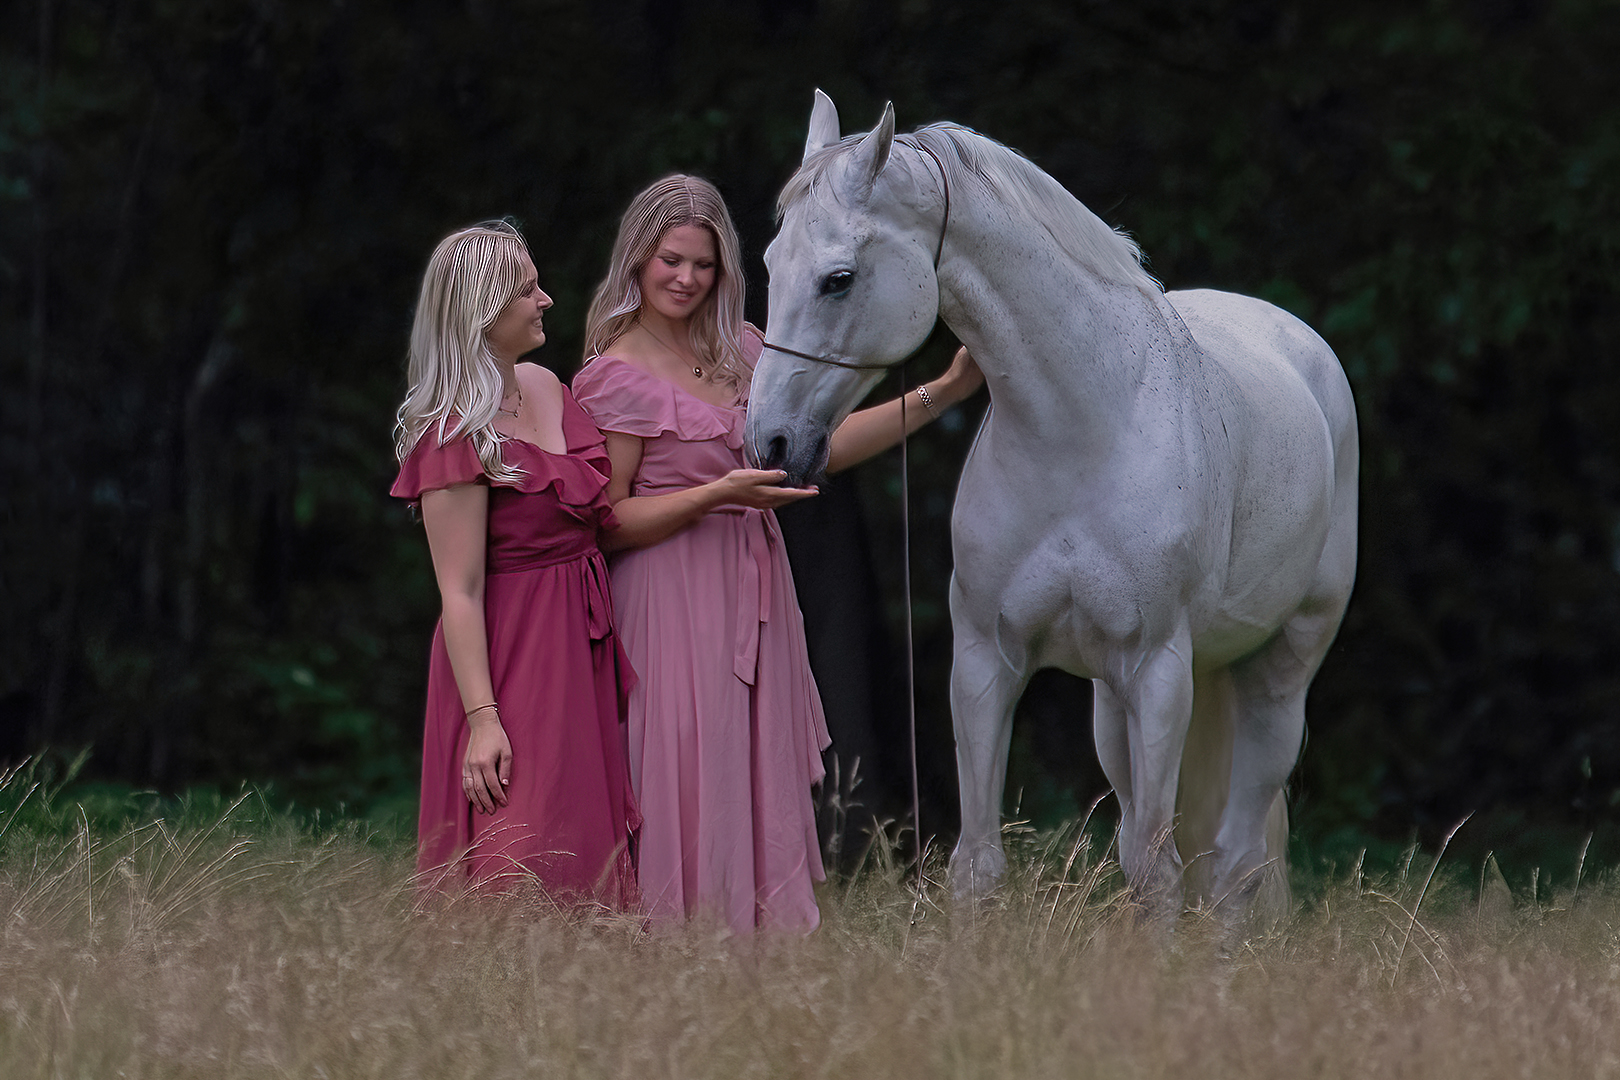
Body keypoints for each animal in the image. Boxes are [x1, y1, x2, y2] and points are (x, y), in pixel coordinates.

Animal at [745, 91, 1358, 924]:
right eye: (772, 265)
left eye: (838, 279)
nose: (770, 441)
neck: (1083, 428)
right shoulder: (985, 661)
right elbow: (978, 864)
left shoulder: (1158, 671)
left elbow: (1154, 872)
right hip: (1113, 704)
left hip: (1279, 670)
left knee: (1233, 863)